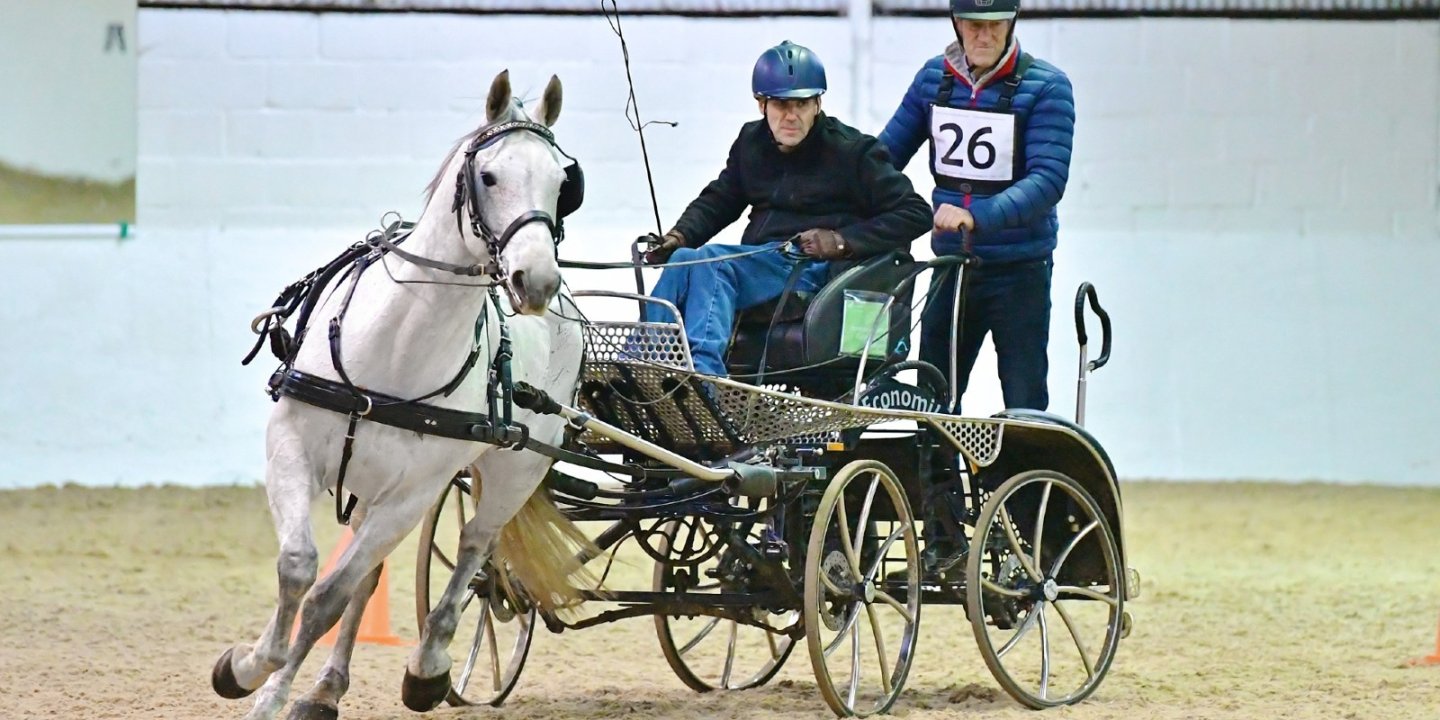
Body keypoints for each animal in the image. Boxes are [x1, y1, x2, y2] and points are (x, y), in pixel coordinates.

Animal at [211, 71, 590, 720]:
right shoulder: (290, 448)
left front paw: (269, 692)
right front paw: (247, 668)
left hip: (514, 470)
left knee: (474, 547)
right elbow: (299, 567)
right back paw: (326, 689)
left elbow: (327, 597)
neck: (394, 348)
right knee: (375, 572)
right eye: (489, 176)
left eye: (563, 185)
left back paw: (428, 666)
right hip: (369, 481)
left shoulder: (414, 493)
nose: (536, 281)